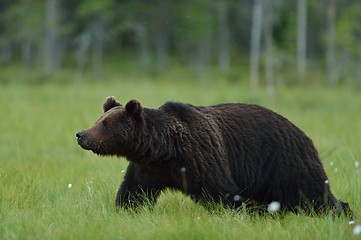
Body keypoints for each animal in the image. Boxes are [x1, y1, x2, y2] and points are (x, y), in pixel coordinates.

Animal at [76, 96, 352, 218]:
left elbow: (221, 192)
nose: (81, 134)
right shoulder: (149, 169)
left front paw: (240, 212)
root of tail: (304, 135)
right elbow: (134, 192)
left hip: (284, 163)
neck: (165, 150)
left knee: (312, 194)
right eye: (99, 119)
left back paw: (342, 211)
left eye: (105, 125)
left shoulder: (201, 156)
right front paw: (124, 209)